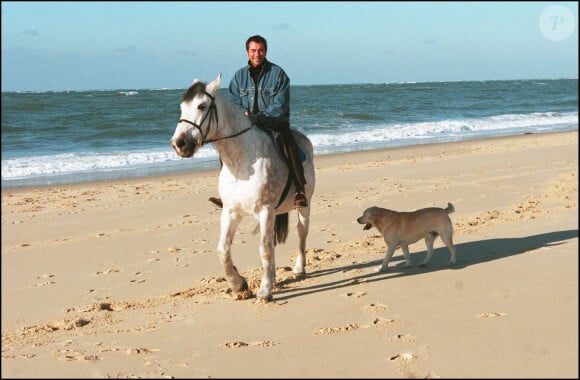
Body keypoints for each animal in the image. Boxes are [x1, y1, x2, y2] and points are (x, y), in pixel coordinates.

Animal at [170, 74, 314, 302]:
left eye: (202, 106)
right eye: (183, 107)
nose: (179, 144)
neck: (241, 163)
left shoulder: (265, 210)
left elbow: (265, 249)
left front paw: (264, 291)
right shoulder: (231, 212)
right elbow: (223, 250)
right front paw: (239, 284)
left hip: (303, 206)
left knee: (301, 232)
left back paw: (299, 268)